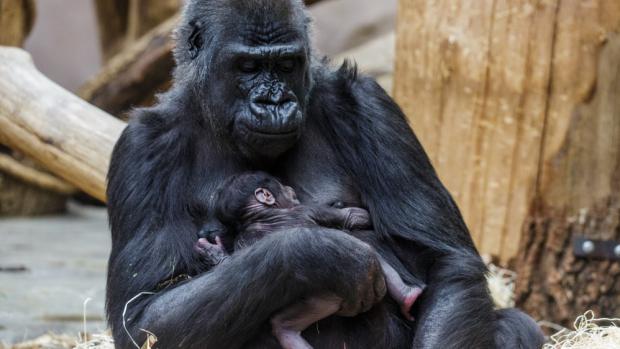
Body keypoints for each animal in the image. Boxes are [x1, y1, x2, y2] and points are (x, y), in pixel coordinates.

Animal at [195, 172, 426, 348]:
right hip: (335, 295)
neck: (259, 215)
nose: (290, 189)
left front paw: (214, 252)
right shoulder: (309, 209)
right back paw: (408, 295)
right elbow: (352, 216)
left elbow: (232, 264)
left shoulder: (243, 239)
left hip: (317, 302)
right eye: (280, 185)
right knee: (371, 256)